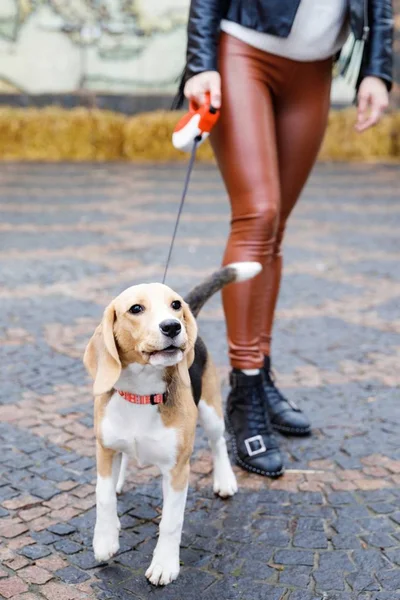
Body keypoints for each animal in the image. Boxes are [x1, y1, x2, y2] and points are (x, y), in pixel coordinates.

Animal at [83, 262, 260, 584]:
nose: (173, 326)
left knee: (217, 442)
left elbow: (170, 521)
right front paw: (104, 541)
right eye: (136, 308)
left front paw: (164, 564)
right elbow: (103, 497)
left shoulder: (178, 470)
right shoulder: (104, 449)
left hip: (211, 410)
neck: (141, 394)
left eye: (175, 305)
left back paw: (224, 479)